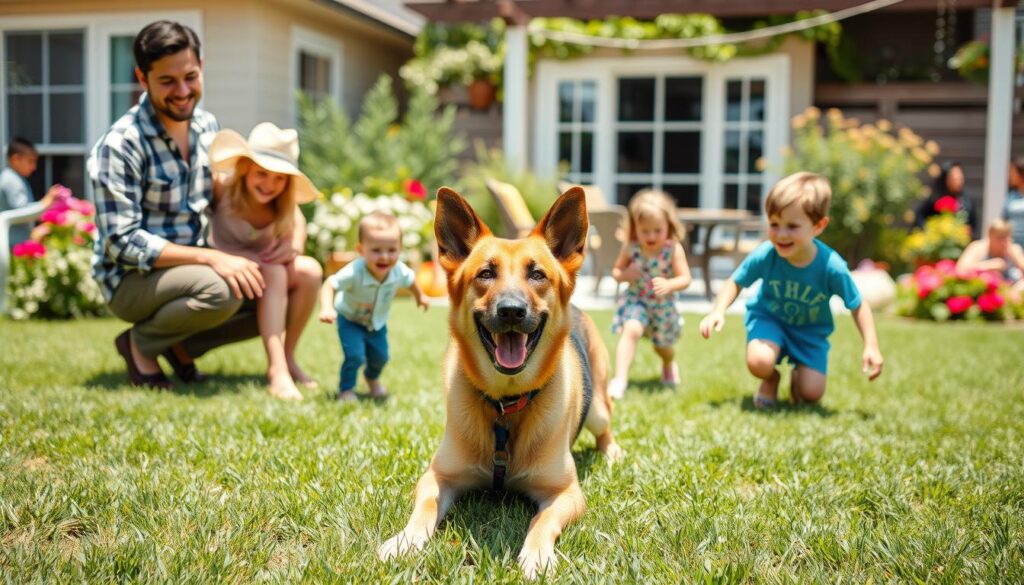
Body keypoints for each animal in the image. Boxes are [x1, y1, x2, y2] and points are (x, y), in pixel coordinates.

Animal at [380, 186, 618, 577]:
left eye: (537, 274)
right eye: (486, 273)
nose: (511, 311)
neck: (506, 405)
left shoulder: (566, 493)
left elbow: (542, 521)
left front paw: (537, 554)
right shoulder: (436, 476)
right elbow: (426, 507)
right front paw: (405, 540)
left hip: (597, 407)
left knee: (605, 427)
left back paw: (611, 451)